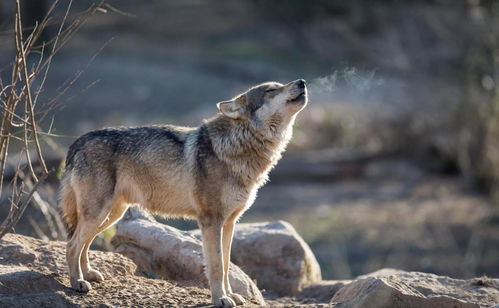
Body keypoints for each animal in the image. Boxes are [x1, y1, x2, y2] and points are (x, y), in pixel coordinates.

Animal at [59, 79, 308, 306]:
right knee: (71, 245)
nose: (302, 81)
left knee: (83, 244)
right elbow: (217, 266)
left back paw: (88, 274)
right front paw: (220, 299)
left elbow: (226, 264)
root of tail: (79, 141)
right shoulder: (210, 221)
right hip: (98, 214)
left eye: (279, 84)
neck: (237, 144)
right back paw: (77, 283)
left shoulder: (229, 223)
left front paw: (232, 295)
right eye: (272, 89)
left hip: (110, 215)